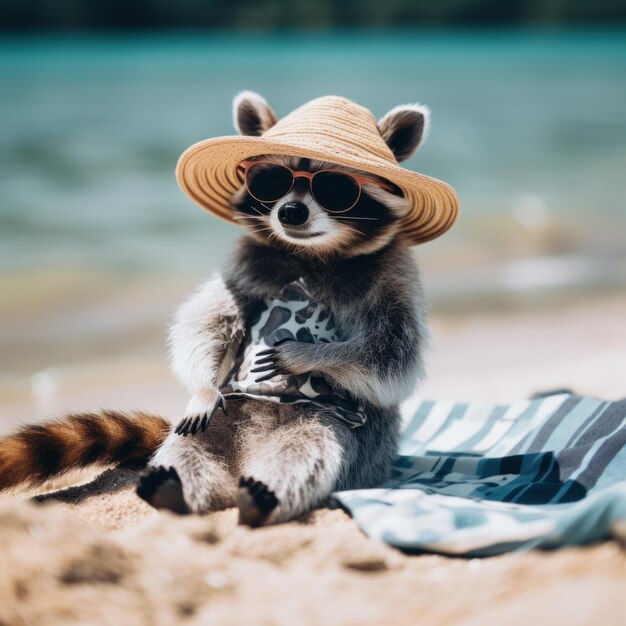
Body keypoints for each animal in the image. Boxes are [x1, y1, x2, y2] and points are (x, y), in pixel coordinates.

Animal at [0, 90, 428, 524]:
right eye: (270, 180)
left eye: (336, 188)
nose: (290, 212)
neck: (309, 253)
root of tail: (250, 455)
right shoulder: (244, 266)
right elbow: (206, 322)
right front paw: (204, 386)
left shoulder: (394, 276)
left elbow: (390, 357)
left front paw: (306, 354)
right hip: (227, 416)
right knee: (192, 444)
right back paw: (174, 488)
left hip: (352, 440)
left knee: (312, 443)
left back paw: (263, 495)